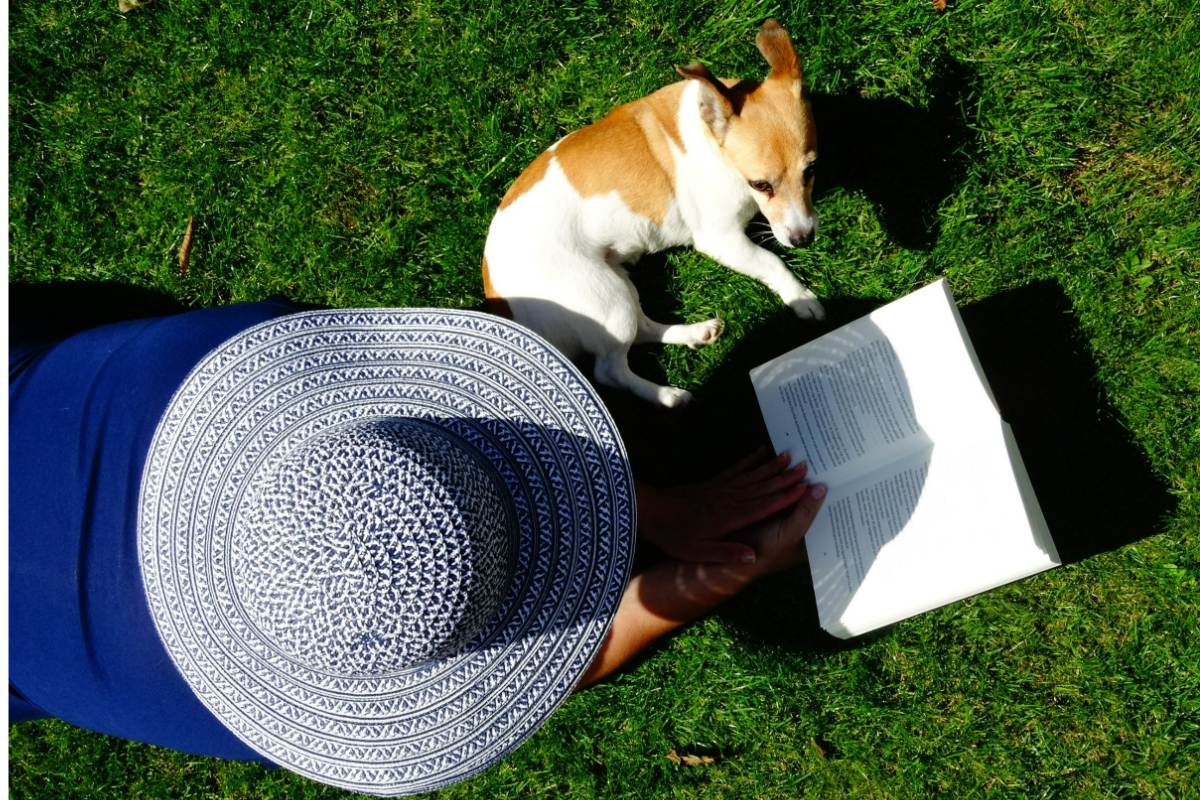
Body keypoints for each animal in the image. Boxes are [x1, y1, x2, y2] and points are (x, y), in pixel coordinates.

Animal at [482, 20, 820, 407]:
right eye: (761, 184)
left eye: (811, 170)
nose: (804, 238)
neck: (711, 138)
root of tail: (499, 300)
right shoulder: (722, 240)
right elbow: (771, 261)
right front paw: (801, 298)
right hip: (604, 298)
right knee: (610, 369)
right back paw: (668, 395)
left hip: (617, 284)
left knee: (642, 329)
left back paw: (695, 332)